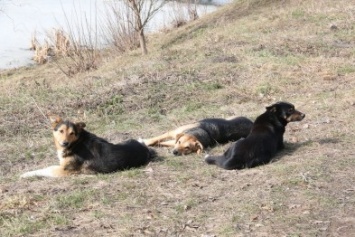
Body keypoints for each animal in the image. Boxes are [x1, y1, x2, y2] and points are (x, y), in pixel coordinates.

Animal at [20, 115, 156, 179]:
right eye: (61, 131)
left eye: (72, 133)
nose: (65, 143)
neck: (76, 142)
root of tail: (145, 150)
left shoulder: (64, 170)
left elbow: (45, 169)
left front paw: (26, 174)